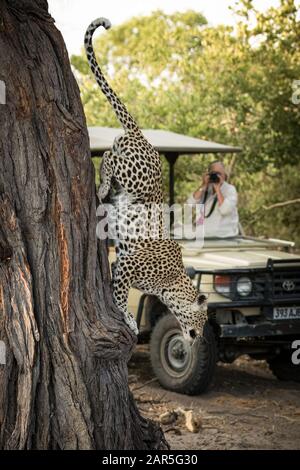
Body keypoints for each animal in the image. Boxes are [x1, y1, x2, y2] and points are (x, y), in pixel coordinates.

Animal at [83, 17, 207, 342]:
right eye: (203, 319)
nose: (199, 336)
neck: (171, 284)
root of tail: (143, 136)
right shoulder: (126, 264)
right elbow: (120, 298)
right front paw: (129, 321)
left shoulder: (123, 264)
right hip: (137, 177)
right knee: (109, 155)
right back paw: (102, 185)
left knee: (111, 151)